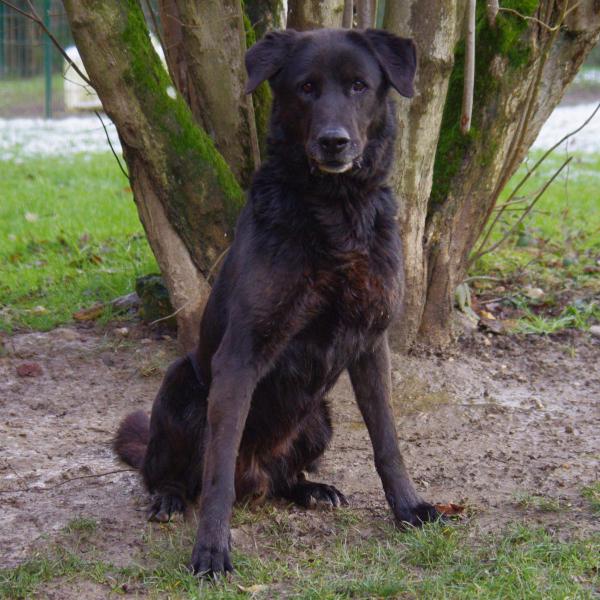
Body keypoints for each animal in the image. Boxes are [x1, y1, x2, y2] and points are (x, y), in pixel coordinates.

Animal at [115, 27, 438, 576]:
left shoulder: (371, 345)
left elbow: (388, 442)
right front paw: (211, 549)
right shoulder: (241, 356)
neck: (335, 212)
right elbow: (217, 470)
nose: (334, 141)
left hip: (319, 417)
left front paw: (408, 508)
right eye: (306, 88)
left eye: (359, 85)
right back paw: (169, 498)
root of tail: (258, 476)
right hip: (180, 387)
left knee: (286, 477)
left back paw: (311, 489)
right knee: (171, 474)